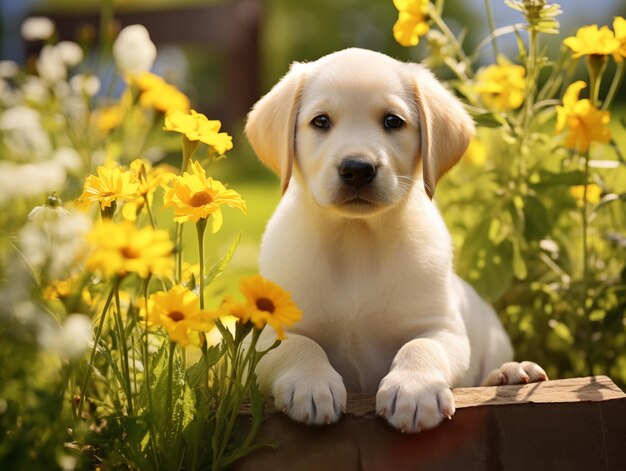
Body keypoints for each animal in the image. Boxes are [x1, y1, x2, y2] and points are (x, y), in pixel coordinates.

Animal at [241, 49, 544, 434]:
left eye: (392, 121)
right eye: (320, 121)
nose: (357, 168)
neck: (357, 241)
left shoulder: (443, 328)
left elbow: (421, 346)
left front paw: (414, 390)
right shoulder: (268, 332)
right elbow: (298, 344)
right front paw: (310, 382)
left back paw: (511, 373)